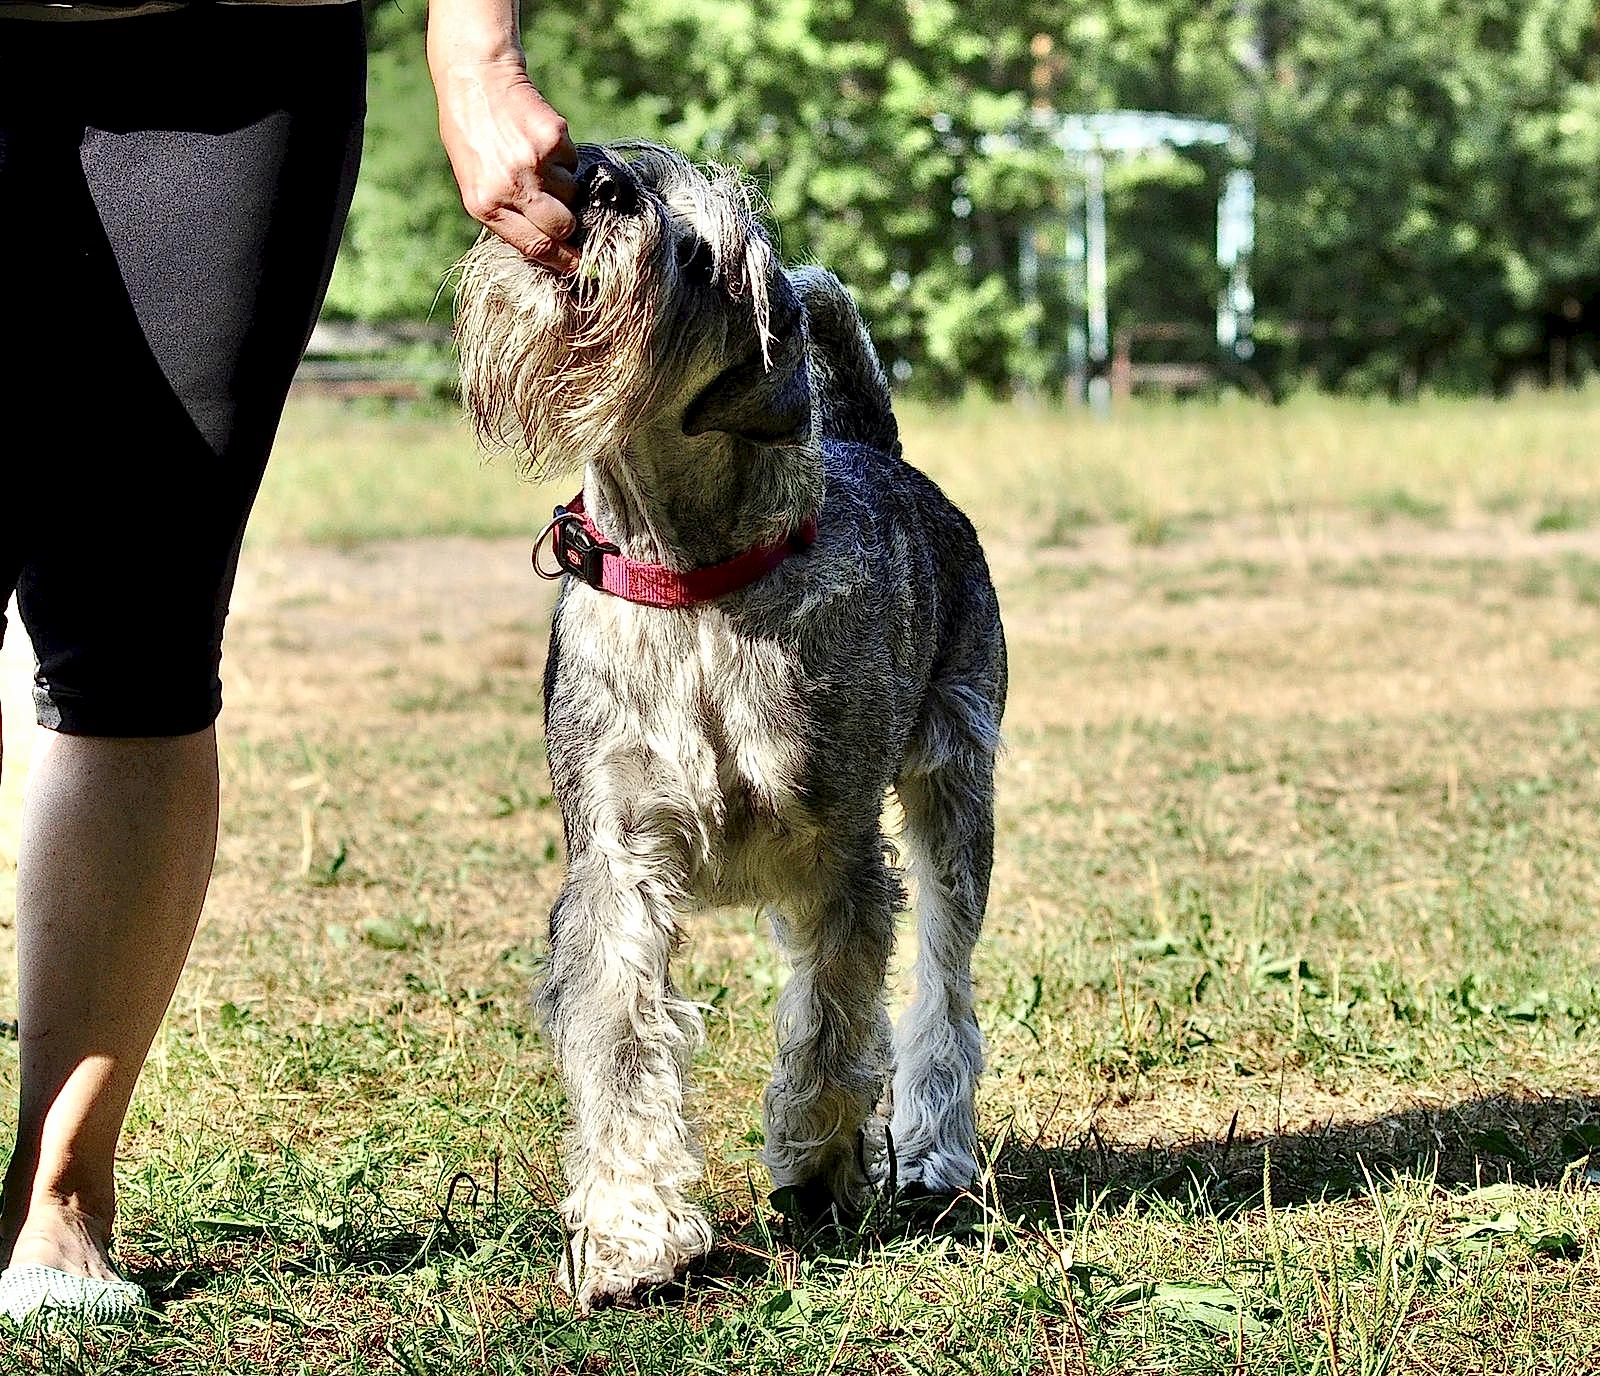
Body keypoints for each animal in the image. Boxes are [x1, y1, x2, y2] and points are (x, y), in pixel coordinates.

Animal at [455, 143, 1006, 1312]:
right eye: (628, 165)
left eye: (704, 255)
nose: (597, 180)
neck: (693, 580)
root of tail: (881, 449)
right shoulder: (616, 860)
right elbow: (621, 1046)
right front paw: (631, 1238)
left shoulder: (841, 850)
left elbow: (834, 1024)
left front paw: (814, 1164)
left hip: (956, 791)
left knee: (944, 988)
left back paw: (933, 1151)